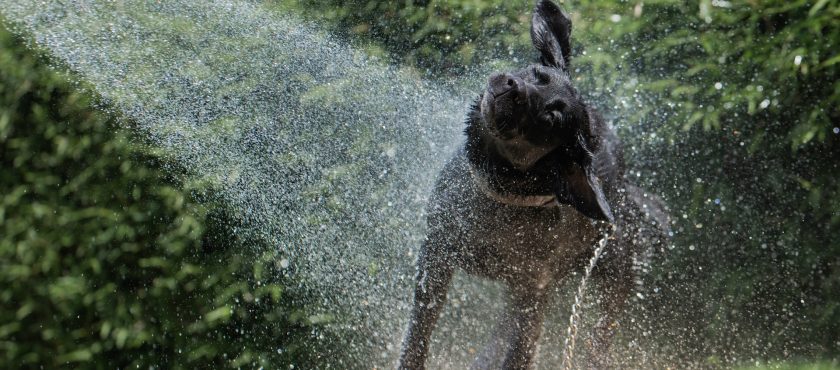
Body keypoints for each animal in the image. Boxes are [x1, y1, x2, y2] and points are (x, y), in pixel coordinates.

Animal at [398, 1, 668, 368]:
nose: (511, 87)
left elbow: (520, 351)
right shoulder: (437, 252)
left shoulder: (532, 291)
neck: (503, 199)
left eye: (550, 117)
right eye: (538, 74)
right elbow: (419, 331)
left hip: (615, 268)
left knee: (601, 331)